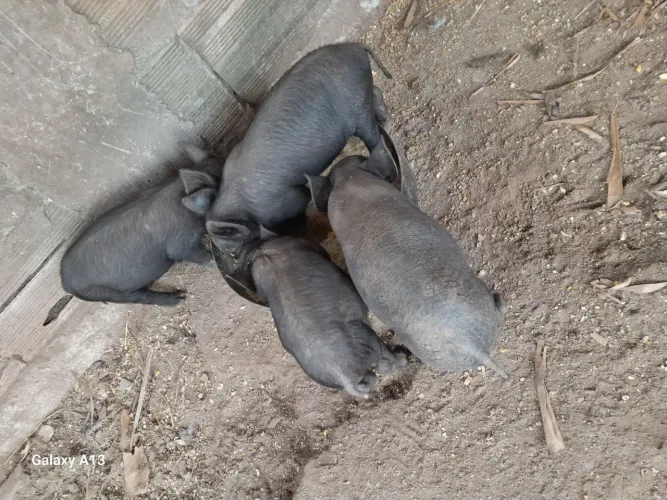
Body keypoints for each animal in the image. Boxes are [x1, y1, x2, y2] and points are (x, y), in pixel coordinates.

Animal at [60, 144, 221, 306]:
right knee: (140, 297)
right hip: (109, 293)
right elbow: (199, 256)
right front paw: (215, 263)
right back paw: (180, 298)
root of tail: (65, 284)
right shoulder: (181, 243)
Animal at [206, 43, 392, 255]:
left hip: (357, 105)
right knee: (376, 93)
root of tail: (354, 46)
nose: (238, 256)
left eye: (234, 248)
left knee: (372, 132)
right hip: (364, 92)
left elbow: (300, 209)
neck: (246, 209)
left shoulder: (289, 200)